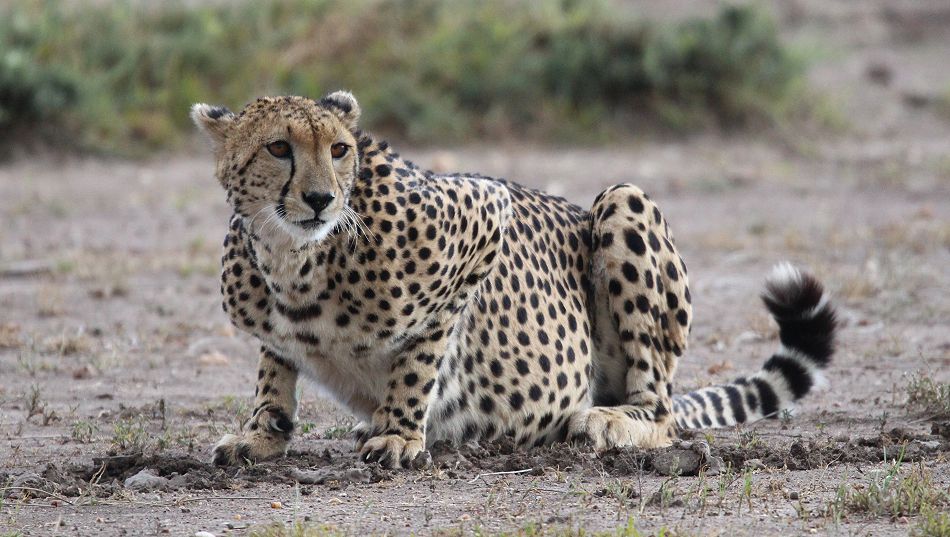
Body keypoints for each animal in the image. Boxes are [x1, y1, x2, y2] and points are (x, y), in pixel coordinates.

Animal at [190, 91, 836, 464]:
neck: (293, 256)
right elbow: (275, 367)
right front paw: (262, 433)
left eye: (340, 149)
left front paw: (400, 433)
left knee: (660, 411)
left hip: (622, 201)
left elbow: (421, 356)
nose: (321, 199)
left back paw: (604, 420)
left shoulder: (486, 210)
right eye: (279, 147)